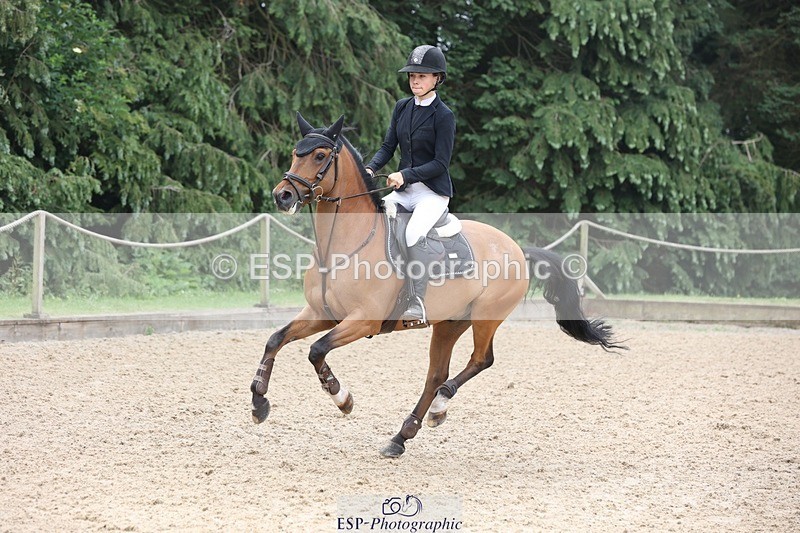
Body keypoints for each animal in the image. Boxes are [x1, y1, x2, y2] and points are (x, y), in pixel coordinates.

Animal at [250, 113, 622, 458]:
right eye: (296, 153)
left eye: (319, 156)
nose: (283, 196)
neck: (342, 245)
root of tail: (516, 247)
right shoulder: (321, 313)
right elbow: (275, 340)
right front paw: (258, 403)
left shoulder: (363, 321)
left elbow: (317, 350)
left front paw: (342, 398)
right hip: (449, 323)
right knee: (436, 374)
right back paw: (402, 436)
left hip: (485, 317)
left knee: (480, 361)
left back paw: (439, 408)